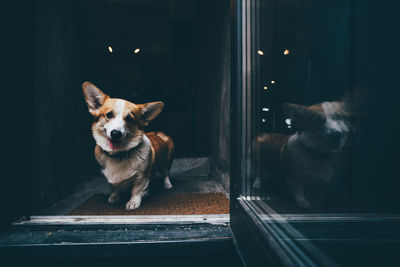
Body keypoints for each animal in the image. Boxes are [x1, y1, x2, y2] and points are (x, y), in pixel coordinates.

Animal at [82, 81, 174, 211]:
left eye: (129, 118)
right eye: (109, 115)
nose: (116, 133)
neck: (119, 155)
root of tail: (159, 133)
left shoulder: (141, 177)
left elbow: (136, 190)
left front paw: (133, 202)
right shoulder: (112, 180)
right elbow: (115, 187)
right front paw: (114, 196)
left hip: (167, 161)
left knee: (166, 173)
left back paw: (167, 184)